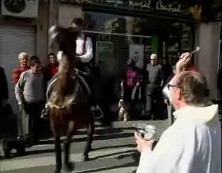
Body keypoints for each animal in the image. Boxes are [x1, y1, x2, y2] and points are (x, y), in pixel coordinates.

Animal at [47, 25, 94, 173]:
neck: (63, 91)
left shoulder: (74, 120)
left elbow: (66, 142)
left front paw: (67, 165)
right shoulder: (54, 120)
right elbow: (57, 145)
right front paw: (57, 168)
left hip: (87, 114)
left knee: (91, 128)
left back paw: (85, 152)